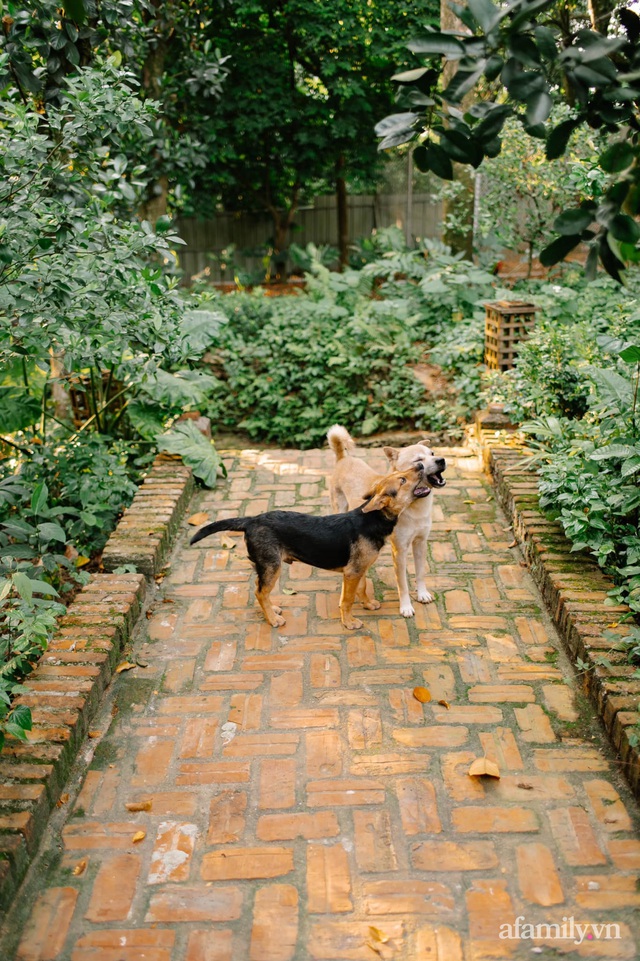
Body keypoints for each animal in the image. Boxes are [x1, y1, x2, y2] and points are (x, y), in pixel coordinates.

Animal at [190, 464, 430, 632]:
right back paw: (273, 619)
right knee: (260, 591)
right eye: (402, 479)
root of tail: (251, 520)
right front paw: (349, 622)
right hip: (272, 566)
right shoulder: (352, 572)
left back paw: (271, 610)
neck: (373, 519)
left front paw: (368, 604)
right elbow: (347, 600)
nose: (420, 465)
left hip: (264, 565)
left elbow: (361, 589)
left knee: (260, 589)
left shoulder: (358, 569)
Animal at [330, 426, 444, 616]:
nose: (442, 460)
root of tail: (342, 458)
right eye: (418, 461)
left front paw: (422, 594)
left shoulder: (420, 543)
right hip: (339, 508)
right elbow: (402, 583)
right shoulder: (400, 550)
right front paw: (406, 607)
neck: (415, 507)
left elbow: (420, 573)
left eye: (432, 453)